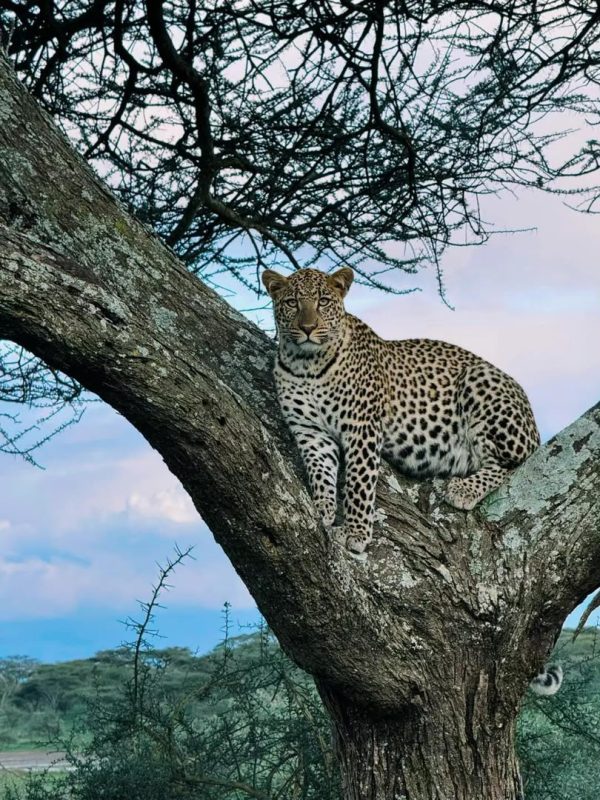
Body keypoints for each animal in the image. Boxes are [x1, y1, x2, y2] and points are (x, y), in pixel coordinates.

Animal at [262, 266, 540, 555]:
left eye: (323, 301)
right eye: (292, 303)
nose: (308, 328)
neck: (307, 365)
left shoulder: (362, 427)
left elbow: (358, 483)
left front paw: (355, 532)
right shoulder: (310, 431)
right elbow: (320, 472)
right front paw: (322, 508)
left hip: (481, 382)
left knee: (513, 463)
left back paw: (464, 489)